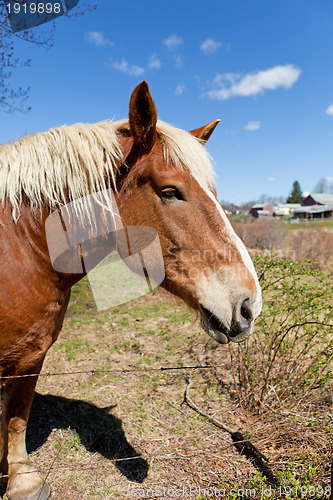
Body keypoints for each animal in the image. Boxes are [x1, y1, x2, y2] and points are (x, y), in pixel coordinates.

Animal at [0, 80, 260, 498]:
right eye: (170, 191)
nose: (249, 303)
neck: (22, 248)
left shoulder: (31, 356)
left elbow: (17, 417)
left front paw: (20, 478)